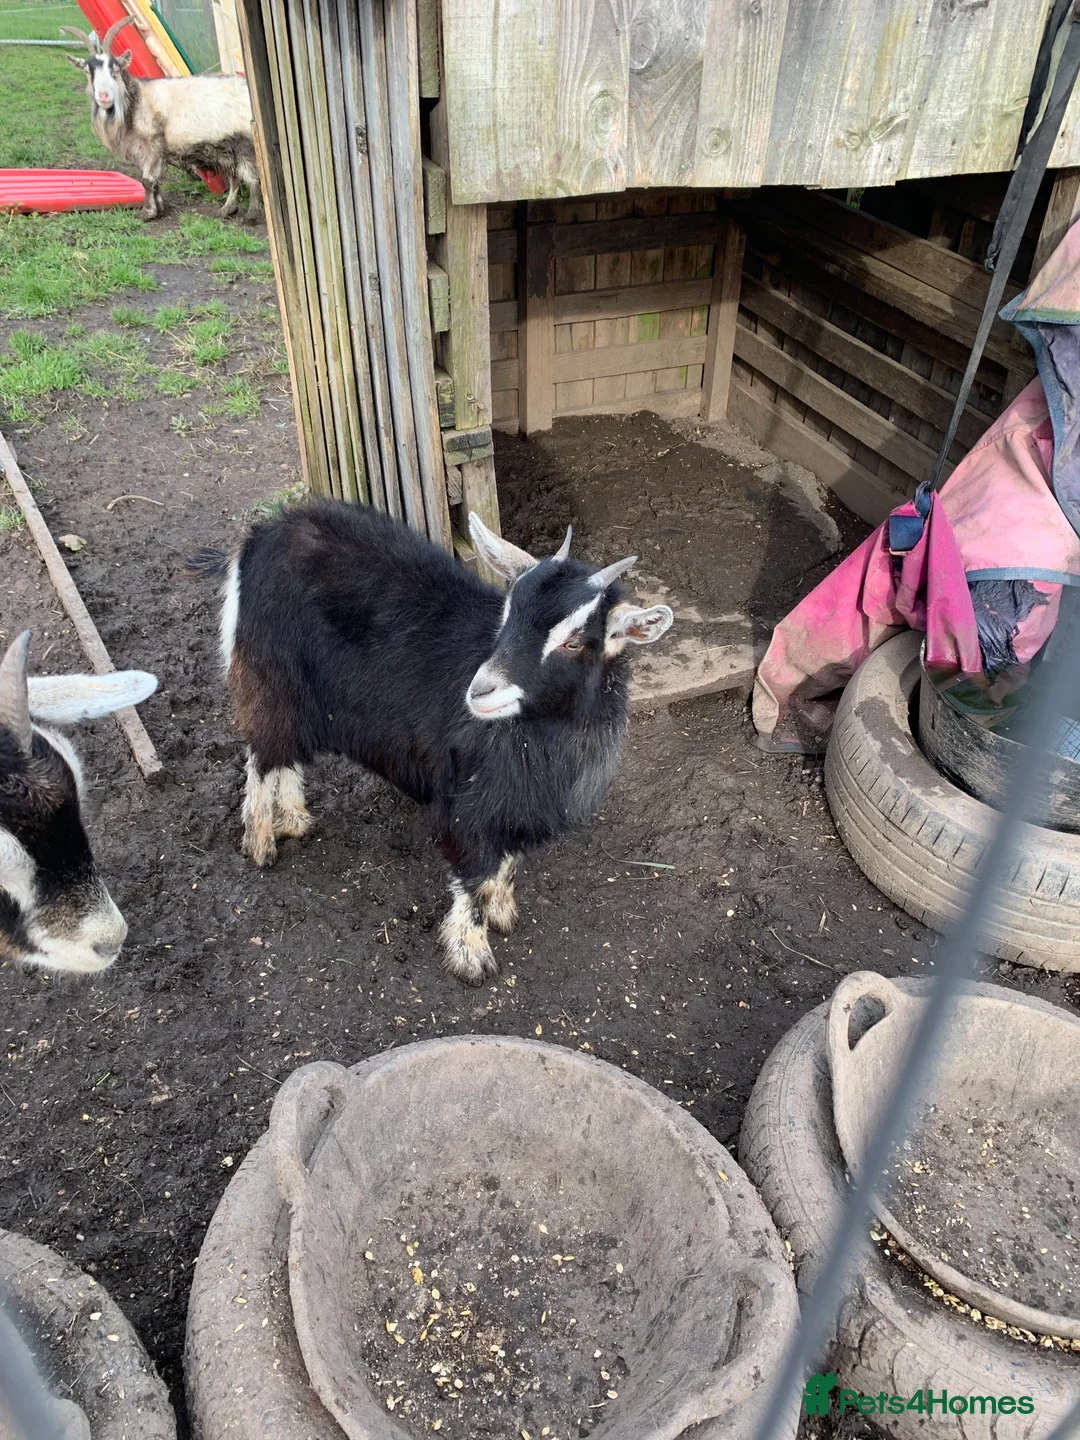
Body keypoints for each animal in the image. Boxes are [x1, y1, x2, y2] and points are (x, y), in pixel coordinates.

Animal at [62, 19, 260, 222]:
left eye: (115, 70)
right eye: (88, 72)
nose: (103, 96)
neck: (136, 101)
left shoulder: (153, 145)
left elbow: (147, 180)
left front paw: (147, 212)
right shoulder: (143, 150)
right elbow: (154, 180)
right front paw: (159, 207)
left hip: (244, 142)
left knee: (251, 177)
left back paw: (251, 215)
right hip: (226, 147)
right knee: (234, 176)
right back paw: (227, 209)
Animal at [191, 502, 673, 984]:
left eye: (574, 642)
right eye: (507, 615)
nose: (479, 691)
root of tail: (263, 534)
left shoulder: (518, 805)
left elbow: (506, 863)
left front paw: (502, 909)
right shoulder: (469, 801)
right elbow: (473, 873)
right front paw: (470, 954)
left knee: (287, 756)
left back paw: (293, 818)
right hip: (269, 676)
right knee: (262, 755)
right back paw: (260, 841)